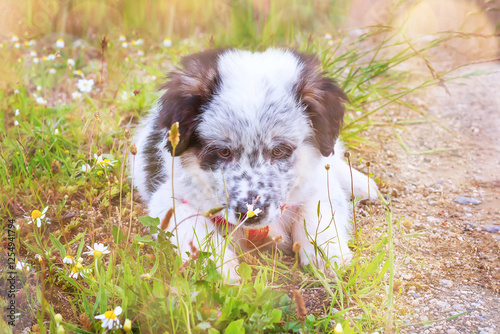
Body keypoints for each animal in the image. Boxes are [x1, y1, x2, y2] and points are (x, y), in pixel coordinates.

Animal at [131, 47, 376, 282]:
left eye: (278, 150)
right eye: (224, 152)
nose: (250, 213)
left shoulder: (316, 183)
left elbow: (316, 214)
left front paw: (328, 256)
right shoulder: (168, 198)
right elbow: (195, 230)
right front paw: (221, 269)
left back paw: (364, 185)